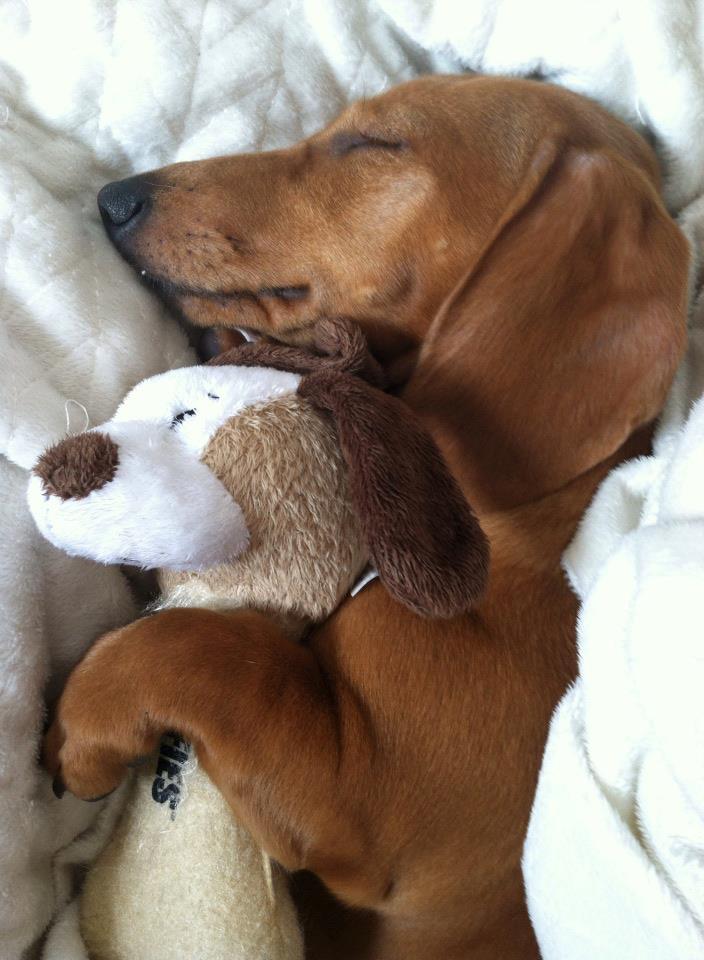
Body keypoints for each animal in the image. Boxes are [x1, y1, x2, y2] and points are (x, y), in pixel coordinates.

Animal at [44, 77, 688, 960]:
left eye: (374, 143)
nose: (114, 198)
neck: (527, 533)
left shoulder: (366, 800)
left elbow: (210, 648)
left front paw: (81, 724)